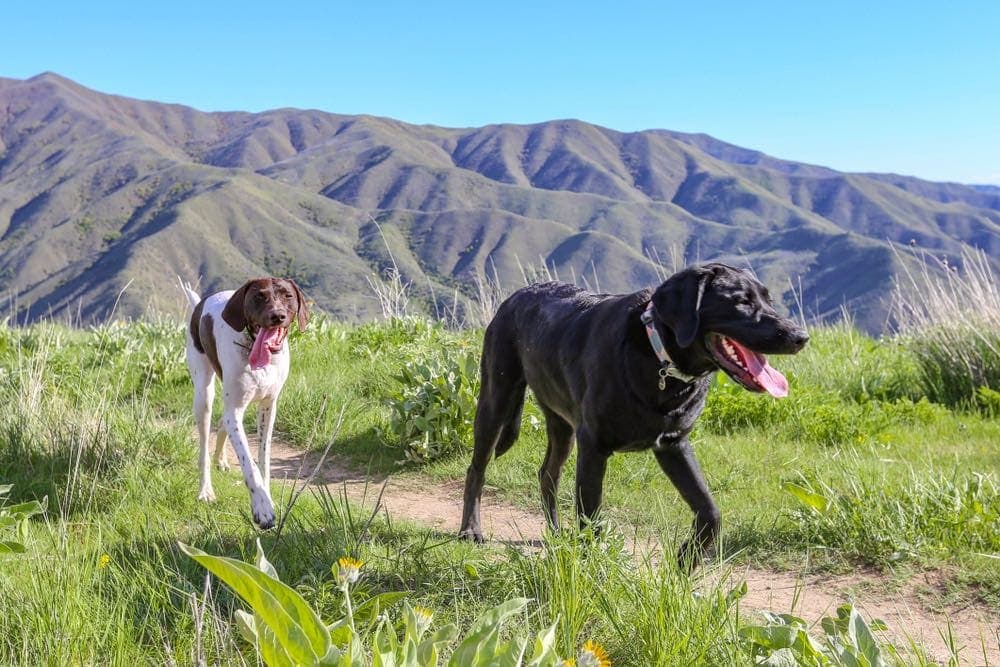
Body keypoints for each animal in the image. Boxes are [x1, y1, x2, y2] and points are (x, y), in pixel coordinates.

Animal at [178, 276, 306, 528]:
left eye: (287, 295)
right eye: (259, 296)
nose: (277, 316)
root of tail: (200, 303)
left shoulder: (268, 407)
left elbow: (263, 459)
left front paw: (268, 497)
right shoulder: (235, 411)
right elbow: (249, 465)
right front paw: (262, 507)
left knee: (221, 423)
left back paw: (221, 460)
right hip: (203, 395)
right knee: (204, 448)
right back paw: (206, 490)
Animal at [458, 264, 808, 568]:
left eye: (768, 299)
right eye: (741, 302)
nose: (800, 337)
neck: (660, 360)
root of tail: (517, 295)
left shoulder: (673, 445)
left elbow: (711, 512)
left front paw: (685, 563)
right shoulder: (593, 447)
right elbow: (591, 517)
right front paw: (593, 572)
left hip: (562, 425)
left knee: (547, 473)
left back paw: (556, 533)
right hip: (496, 399)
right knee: (477, 469)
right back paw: (470, 530)